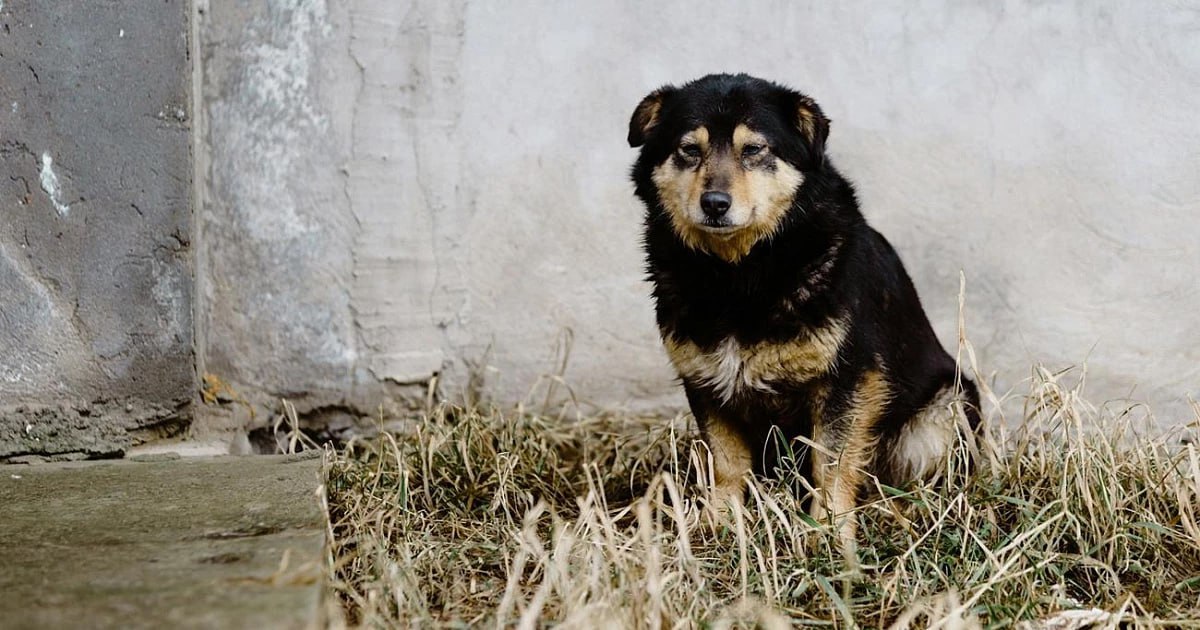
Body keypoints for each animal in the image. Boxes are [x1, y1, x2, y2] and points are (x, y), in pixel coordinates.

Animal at [628, 73, 974, 544]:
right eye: (689, 149)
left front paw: (829, 530)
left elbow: (832, 461)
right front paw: (721, 521)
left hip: (947, 406)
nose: (714, 203)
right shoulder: (704, 379)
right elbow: (726, 461)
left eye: (754, 150)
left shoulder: (849, 379)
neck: (739, 273)